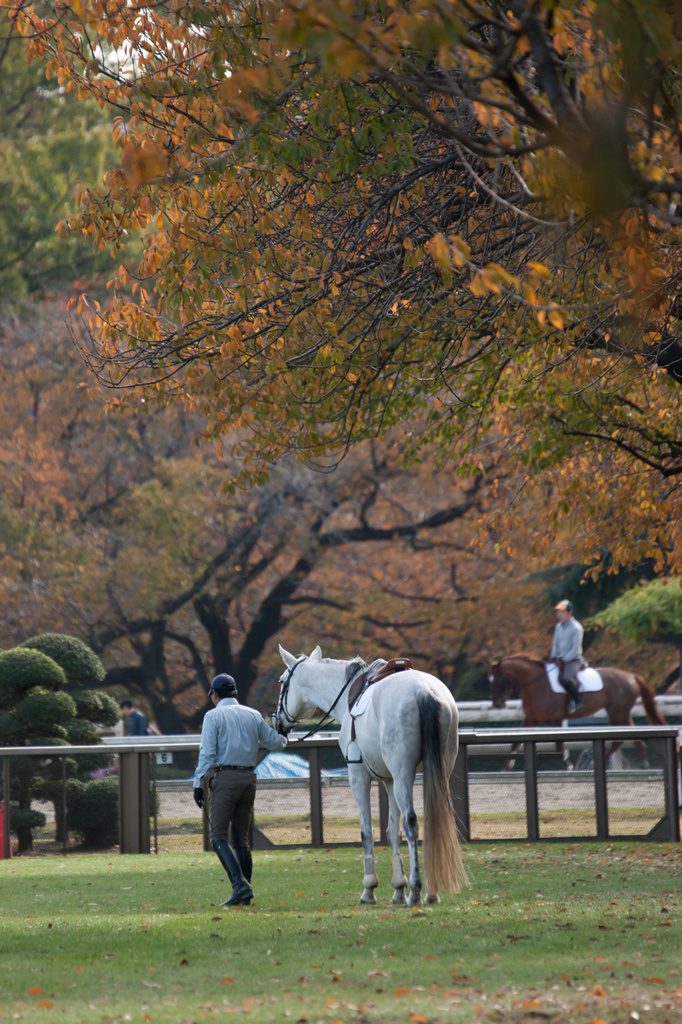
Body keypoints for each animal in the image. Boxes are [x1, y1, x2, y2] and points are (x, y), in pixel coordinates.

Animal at [274, 643, 464, 909]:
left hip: (404, 773)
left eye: (282, 682)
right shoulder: (389, 781)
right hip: (436, 770)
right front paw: (398, 888)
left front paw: (370, 888)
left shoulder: (359, 777)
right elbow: (393, 832)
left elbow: (367, 831)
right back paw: (430, 892)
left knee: (412, 822)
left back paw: (416, 891)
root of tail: (425, 692)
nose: (277, 722)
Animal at [489, 655, 663, 770]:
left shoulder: (555, 720)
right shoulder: (532, 719)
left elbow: (559, 744)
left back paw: (596, 763)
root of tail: (632, 676)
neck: (536, 683)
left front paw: (568, 765)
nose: (497, 704)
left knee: (619, 739)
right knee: (630, 734)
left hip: (618, 713)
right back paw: (643, 763)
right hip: (620, 713)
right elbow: (516, 741)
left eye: (499, 679)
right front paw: (507, 765)